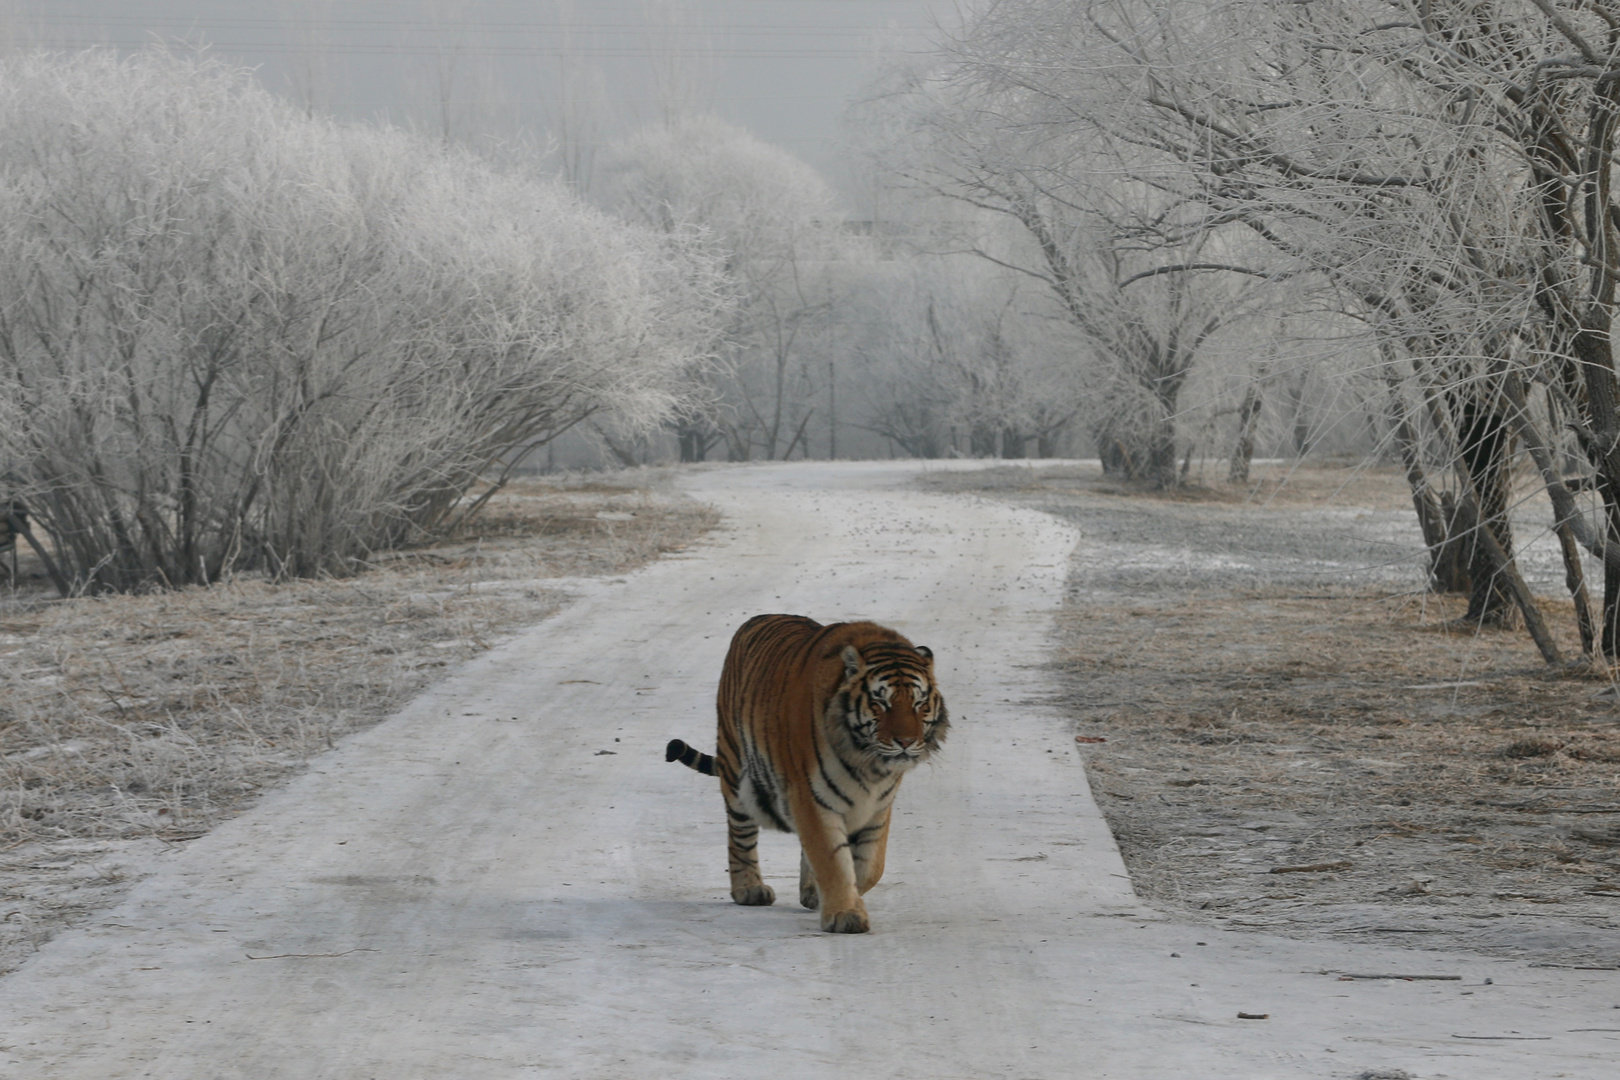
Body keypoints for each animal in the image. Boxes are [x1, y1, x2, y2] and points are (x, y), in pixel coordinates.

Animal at [667, 615, 946, 939]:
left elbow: (869, 865)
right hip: (737, 773)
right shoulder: (811, 798)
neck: (868, 764)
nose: (906, 741)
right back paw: (749, 889)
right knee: (740, 836)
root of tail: (757, 619)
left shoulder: (877, 806)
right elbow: (833, 859)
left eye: (919, 704)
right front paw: (845, 914)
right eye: (881, 703)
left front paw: (826, 896)